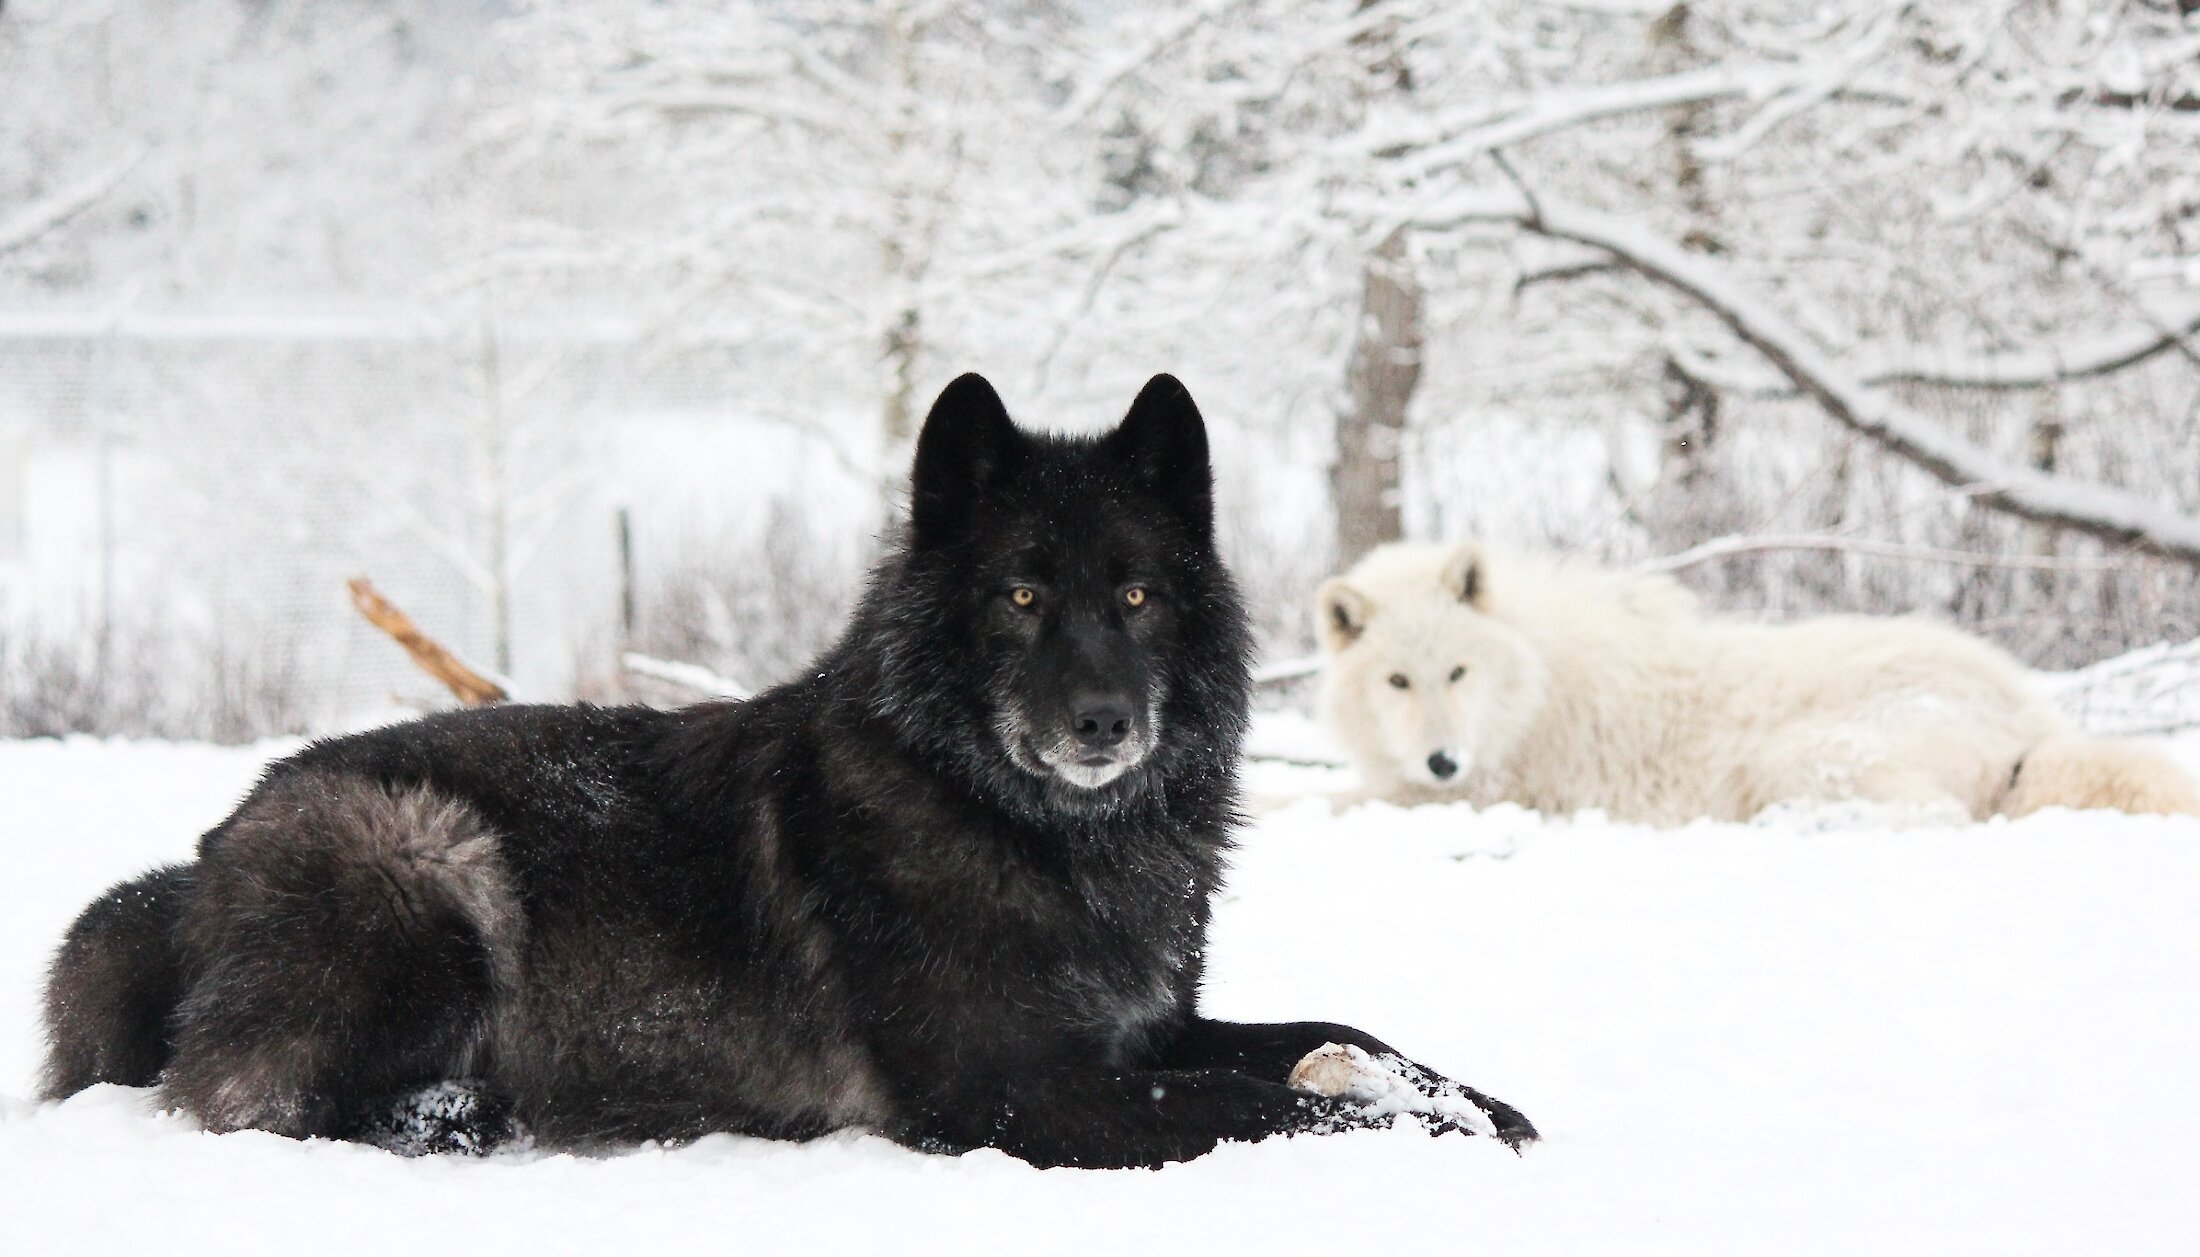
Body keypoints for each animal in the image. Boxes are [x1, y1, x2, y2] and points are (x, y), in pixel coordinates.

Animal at [42, 374, 1540, 1171]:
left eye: (1133, 596)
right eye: (1017, 596)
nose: (1104, 724)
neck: (1035, 836)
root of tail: (201, 860)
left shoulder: (1142, 1031)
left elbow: (1330, 1035)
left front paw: (1479, 1101)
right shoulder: (1023, 1091)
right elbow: (1268, 1103)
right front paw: (1420, 1133)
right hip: (431, 859)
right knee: (264, 1106)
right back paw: (469, 1111)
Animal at [1311, 543, 2191, 827]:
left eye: (1458, 672)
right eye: (1397, 680)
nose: (1443, 761)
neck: (1530, 688)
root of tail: (2035, 720)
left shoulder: (1478, 794)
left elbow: (1313, 802)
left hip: (1796, 753)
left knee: (1932, 817)